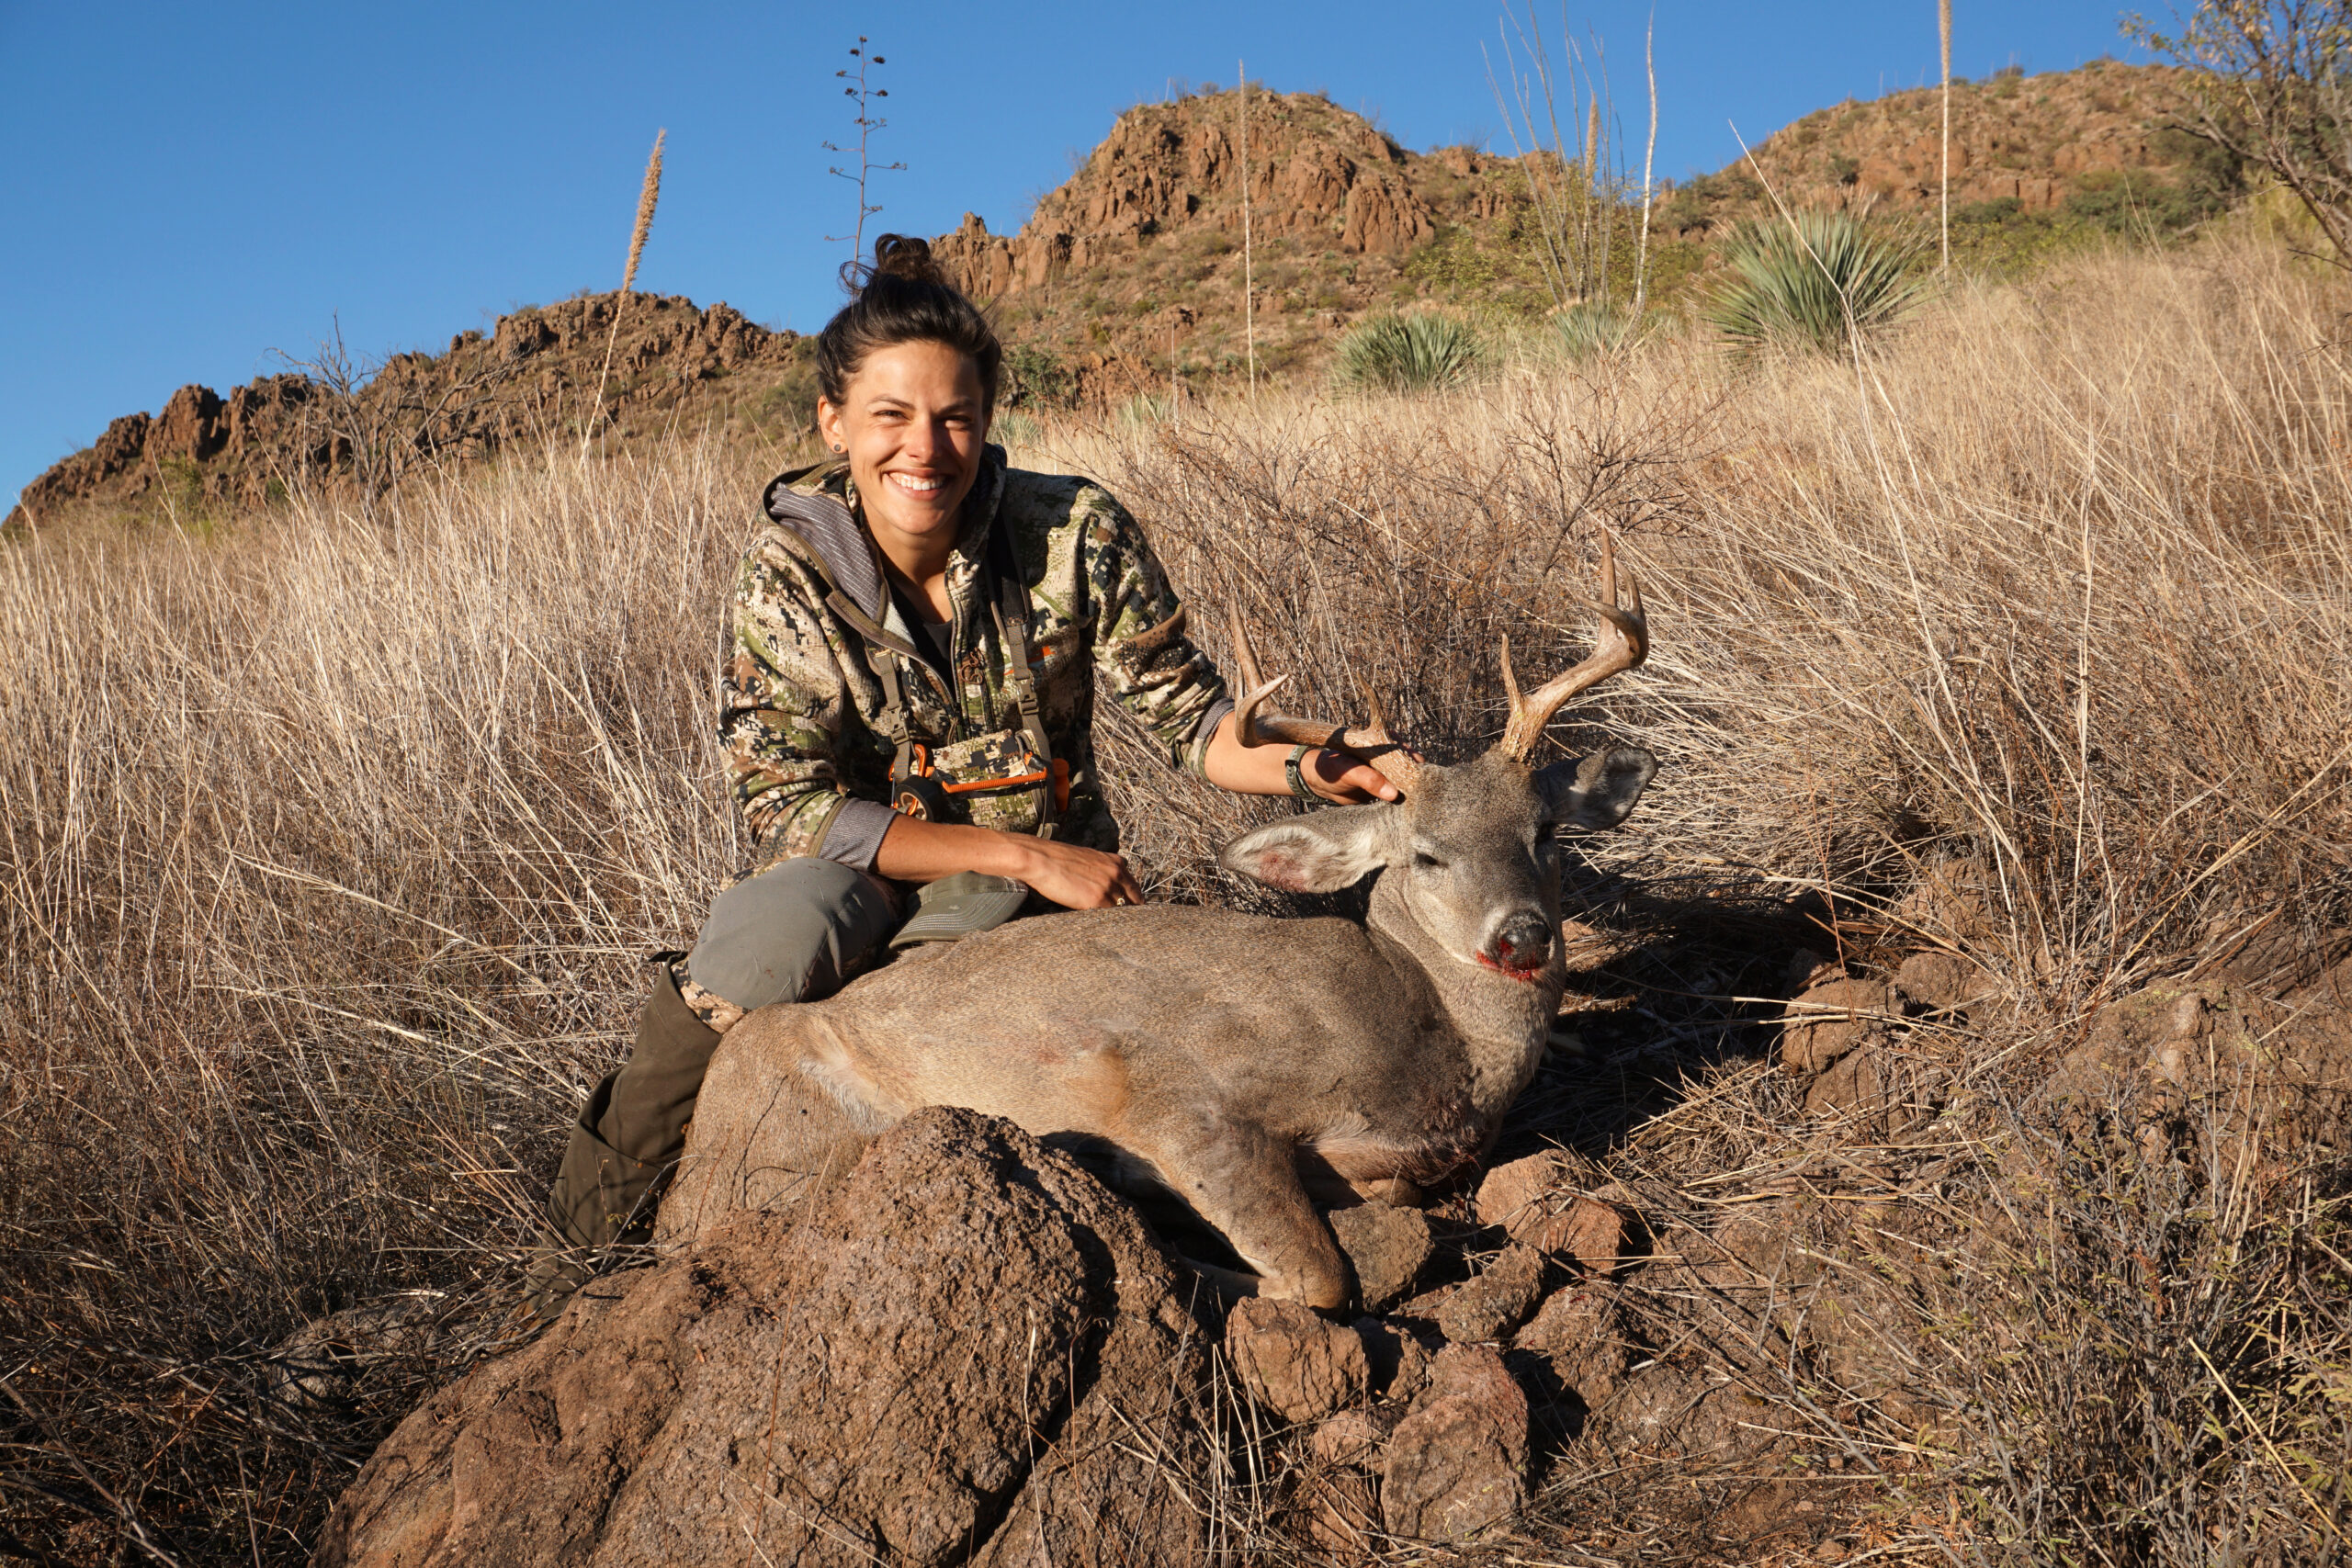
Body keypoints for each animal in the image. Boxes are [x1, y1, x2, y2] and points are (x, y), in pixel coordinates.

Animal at [658, 545, 1656, 1306]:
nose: (1520, 937)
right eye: (1426, 854)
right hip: (794, 1147)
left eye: (1544, 831)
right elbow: (1320, 1278)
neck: (1427, 1032)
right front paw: (1171, 1247)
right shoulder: (1180, 1098)